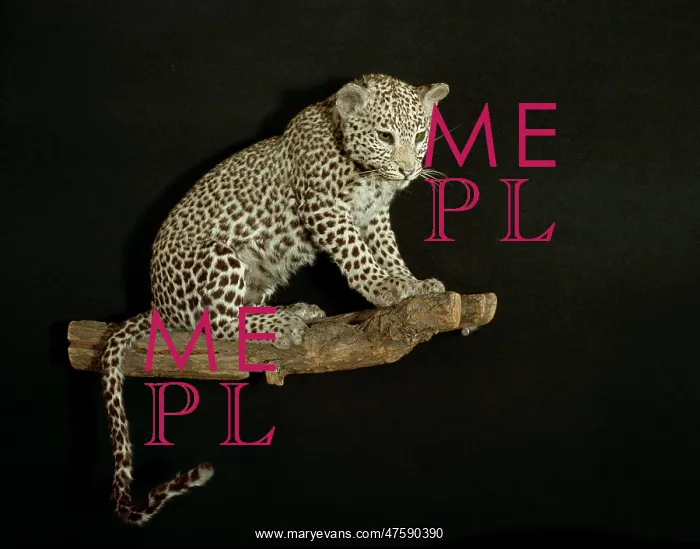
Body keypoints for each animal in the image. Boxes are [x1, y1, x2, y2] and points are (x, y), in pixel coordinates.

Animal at [100, 74, 450, 525]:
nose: (409, 170)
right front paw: (383, 287)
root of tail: (159, 304)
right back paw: (281, 323)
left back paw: (291, 309)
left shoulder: (373, 215)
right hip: (222, 255)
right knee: (218, 322)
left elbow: (388, 250)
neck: (366, 173)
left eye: (420, 135)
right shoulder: (326, 209)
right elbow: (355, 254)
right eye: (385, 136)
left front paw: (412, 282)